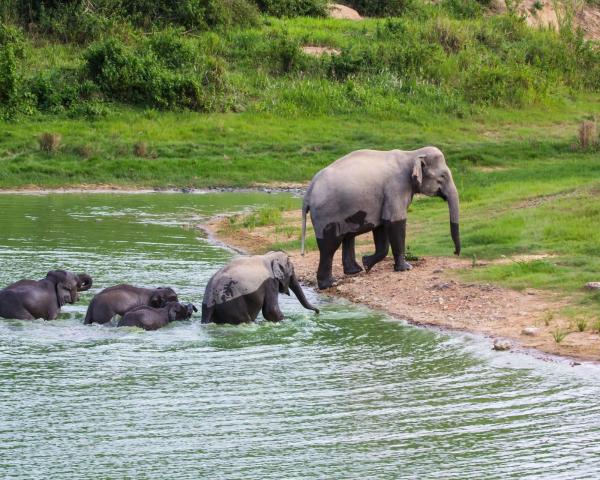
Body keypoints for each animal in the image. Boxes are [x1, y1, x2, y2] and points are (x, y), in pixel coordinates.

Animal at [302, 145, 462, 288]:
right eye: (442, 176)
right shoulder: (396, 188)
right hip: (326, 213)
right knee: (329, 246)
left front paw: (366, 263)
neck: (411, 154)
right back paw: (329, 284)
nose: (455, 252)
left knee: (347, 236)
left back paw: (354, 271)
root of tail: (308, 192)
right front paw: (405, 268)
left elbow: (381, 227)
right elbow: (395, 222)